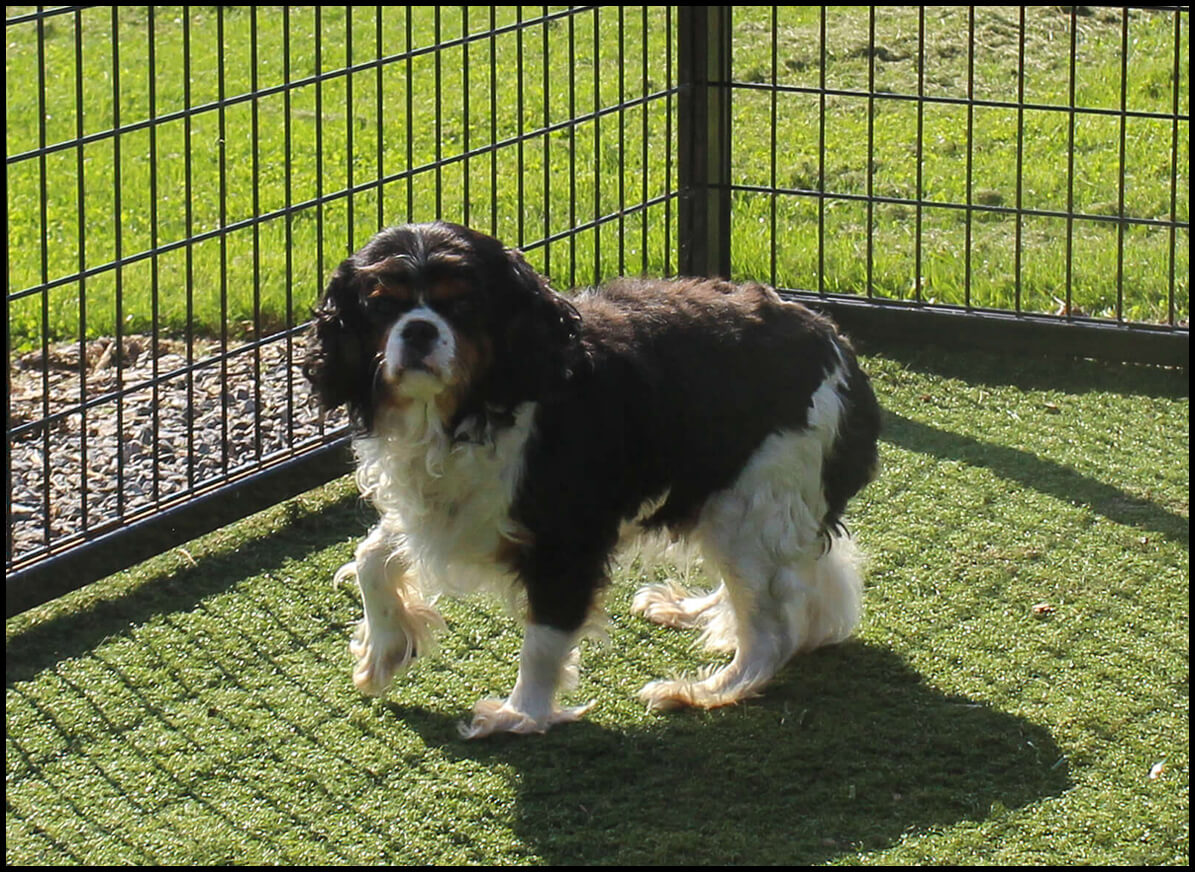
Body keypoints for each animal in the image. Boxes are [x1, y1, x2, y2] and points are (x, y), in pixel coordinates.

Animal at [301, 218, 879, 735]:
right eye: (382, 304)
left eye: (461, 303)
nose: (418, 328)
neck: (466, 409)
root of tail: (836, 344)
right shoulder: (446, 511)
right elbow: (371, 558)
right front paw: (385, 649)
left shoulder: (565, 537)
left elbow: (544, 637)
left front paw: (520, 716)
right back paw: (690, 611)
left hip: (751, 502)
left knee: (771, 634)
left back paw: (703, 691)